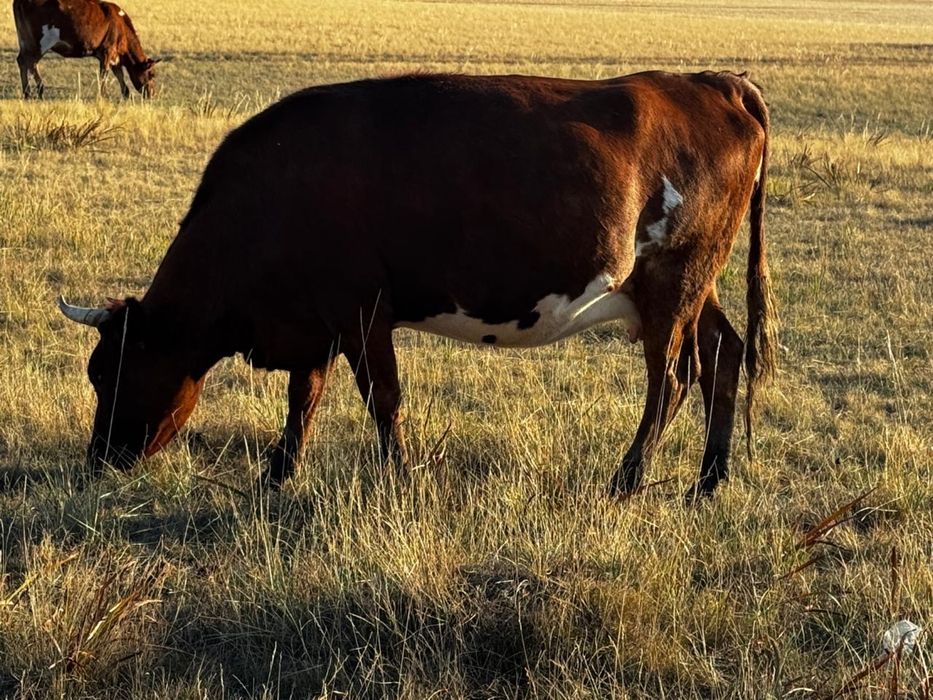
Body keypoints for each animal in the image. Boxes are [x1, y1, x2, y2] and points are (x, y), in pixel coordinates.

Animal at [13, 0, 159, 98]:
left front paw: (125, 94)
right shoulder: (107, 51)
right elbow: (104, 75)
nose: (152, 93)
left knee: (22, 61)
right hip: (39, 43)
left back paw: (27, 93)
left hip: (25, 41)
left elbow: (119, 75)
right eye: (152, 74)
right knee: (31, 63)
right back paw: (39, 90)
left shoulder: (114, 56)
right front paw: (103, 95)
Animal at [58, 71, 777, 500]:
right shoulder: (318, 319)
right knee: (723, 354)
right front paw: (279, 475)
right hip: (688, 285)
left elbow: (382, 398)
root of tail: (712, 81)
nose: (98, 462)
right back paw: (709, 480)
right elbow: (303, 398)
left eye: (111, 371)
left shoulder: (360, 309)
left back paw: (626, 481)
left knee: (672, 379)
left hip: (675, 280)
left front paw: (397, 477)